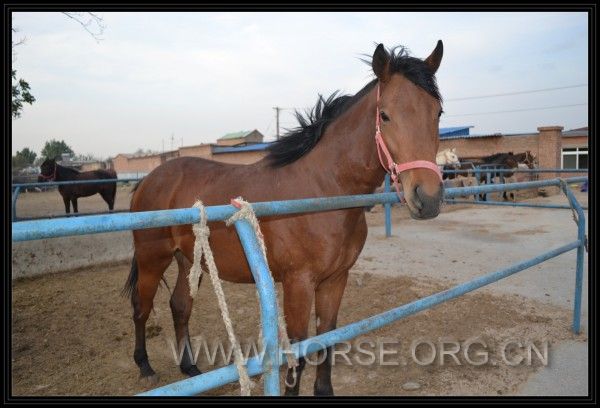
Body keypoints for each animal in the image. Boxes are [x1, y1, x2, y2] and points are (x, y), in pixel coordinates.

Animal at [124, 42, 448, 396]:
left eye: (438, 113)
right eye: (385, 115)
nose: (428, 198)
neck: (322, 191)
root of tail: (150, 178)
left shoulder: (335, 280)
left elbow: (327, 341)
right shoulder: (298, 284)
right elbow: (298, 353)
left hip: (188, 259)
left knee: (180, 306)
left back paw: (190, 367)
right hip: (153, 258)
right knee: (141, 307)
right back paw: (144, 367)